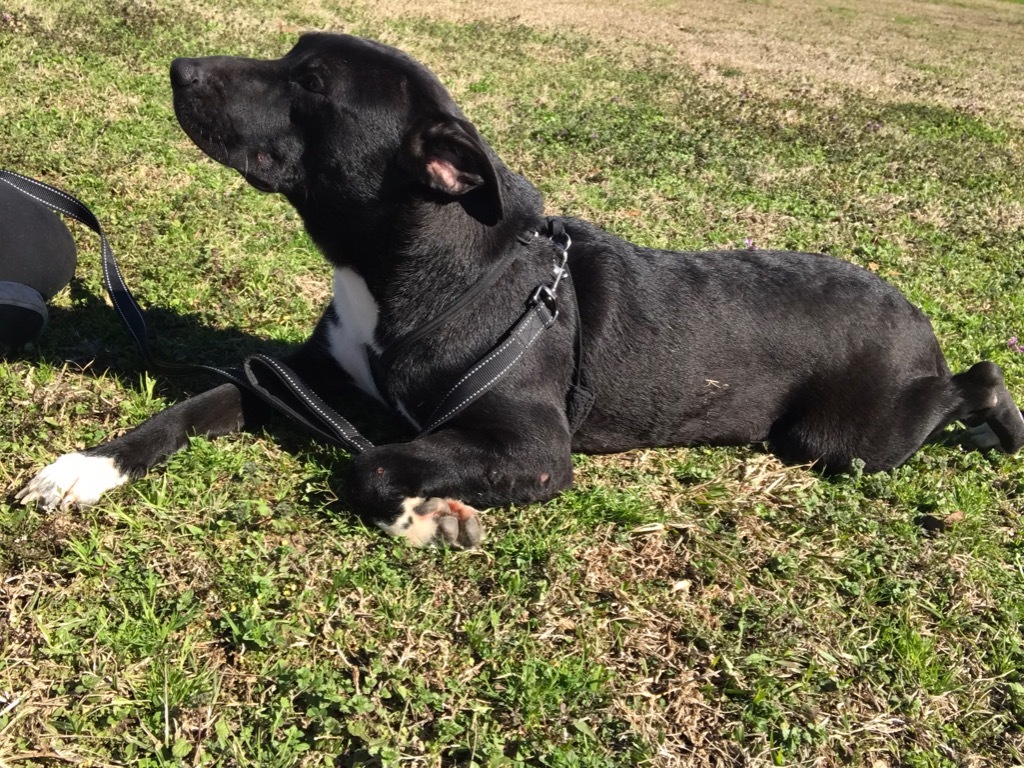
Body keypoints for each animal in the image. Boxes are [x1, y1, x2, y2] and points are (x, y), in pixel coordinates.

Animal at [18, 31, 1024, 548]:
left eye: (310, 82)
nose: (179, 67)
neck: (411, 271)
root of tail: (912, 311)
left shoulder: (535, 449)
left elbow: (372, 460)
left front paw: (425, 514)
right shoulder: (299, 380)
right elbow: (187, 408)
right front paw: (84, 468)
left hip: (845, 438)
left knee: (973, 380)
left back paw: (998, 421)